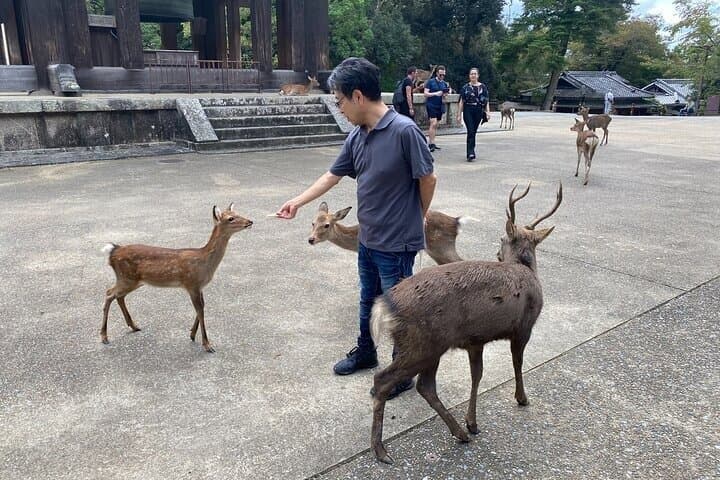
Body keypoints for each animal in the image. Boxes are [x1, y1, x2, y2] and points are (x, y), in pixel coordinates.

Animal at [100, 203, 253, 353]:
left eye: (238, 213)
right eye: (231, 218)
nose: (250, 221)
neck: (204, 262)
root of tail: (113, 251)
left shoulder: (199, 286)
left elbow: (202, 306)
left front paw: (192, 334)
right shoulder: (191, 283)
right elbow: (200, 310)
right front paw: (207, 345)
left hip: (134, 280)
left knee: (119, 296)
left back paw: (133, 326)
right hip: (126, 278)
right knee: (109, 294)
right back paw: (104, 336)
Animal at [308, 202, 465, 266]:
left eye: (326, 225)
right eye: (313, 222)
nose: (311, 239)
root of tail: (456, 222)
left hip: (443, 246)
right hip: (436, 250)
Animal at [368, 182, 562, 464]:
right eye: (501, 239)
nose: (497, 253)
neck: (527, 270)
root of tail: (385, 304)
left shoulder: (475, 340)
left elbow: (477, 375)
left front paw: (472, 422)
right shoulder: (523, 327)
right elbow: (517, 363)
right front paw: (521, 398)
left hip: (429, 345)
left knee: (425, 386)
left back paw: (459, 432)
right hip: (423, 343)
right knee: (383, 379)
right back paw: (381, 450)